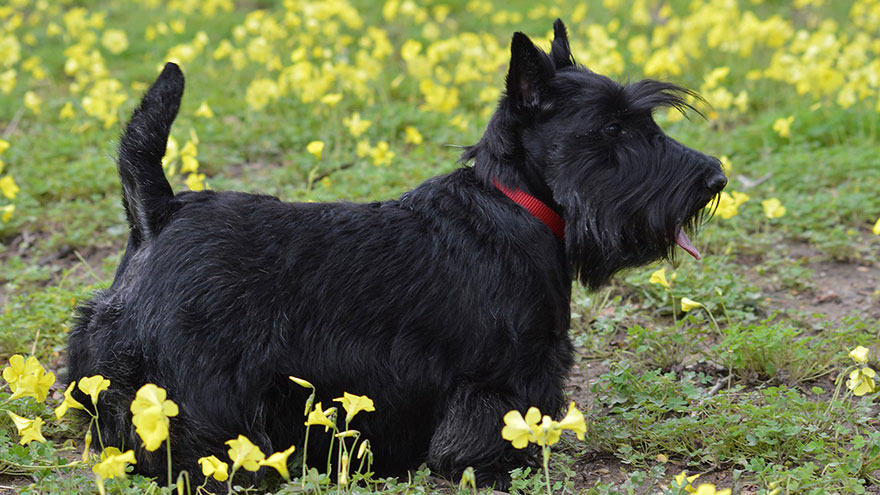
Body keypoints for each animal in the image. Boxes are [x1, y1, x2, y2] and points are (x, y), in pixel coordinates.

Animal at [69, 20, 724, 492]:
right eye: (612, 129)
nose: (715, 177)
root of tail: (160, 211)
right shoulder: (500, 376)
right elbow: (487, 432)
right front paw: (493, 473)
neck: (513, 202)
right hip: (198, 385)